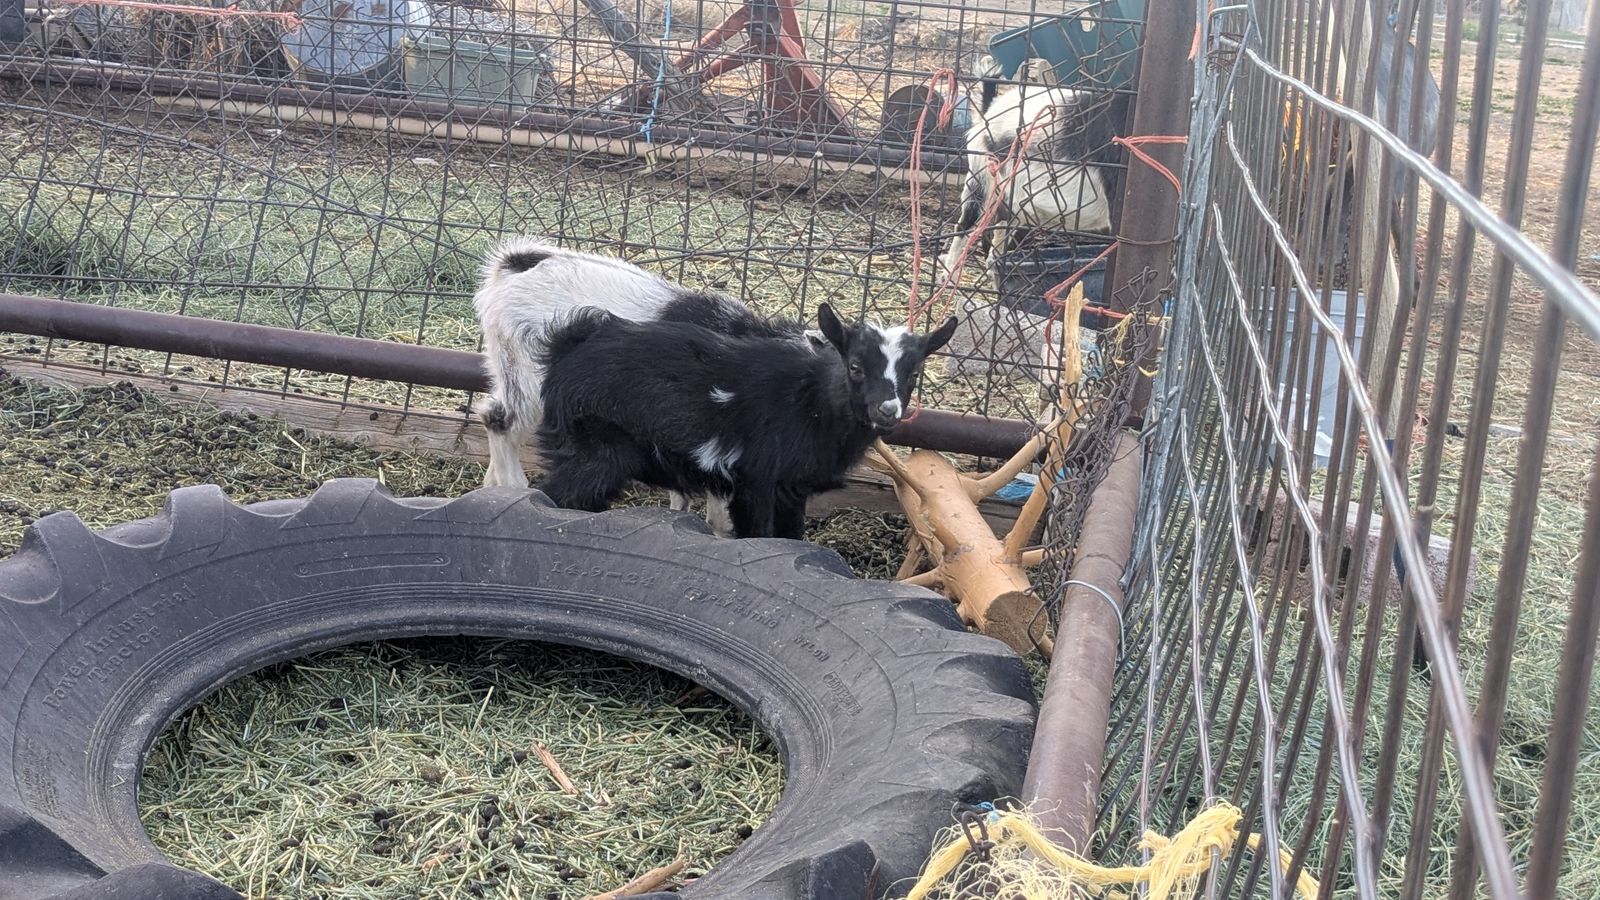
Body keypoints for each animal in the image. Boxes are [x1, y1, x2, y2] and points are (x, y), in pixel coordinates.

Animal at [473, 236, 822, 536]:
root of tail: (514, 264)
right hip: (528, 375)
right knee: (499, 418)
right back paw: (517, 489)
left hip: (503, 363)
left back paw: (493, 488)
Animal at [534, 304, 958, 539]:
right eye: (854, 366)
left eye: (915, 372)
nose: (887, 410)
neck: (810, 400)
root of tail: (568, 346)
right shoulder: (755, 480)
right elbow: (759, 535)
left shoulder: (791, 489)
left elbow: (790, 538)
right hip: (594, 450)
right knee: (553, 499)